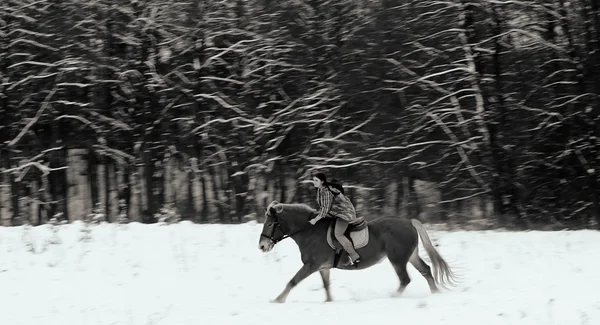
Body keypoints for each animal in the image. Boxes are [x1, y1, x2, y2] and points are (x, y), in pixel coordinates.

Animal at [255, 199, 458, 302]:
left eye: (271, 224)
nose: (262, 246)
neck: (310, 231)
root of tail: (409, 222)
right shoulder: (323, 268)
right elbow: (326, 286)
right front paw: (329, 302)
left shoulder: (311, 265)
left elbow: (293, 281)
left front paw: (278, 300)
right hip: (410, 256)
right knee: (426, 271)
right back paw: (436, 294)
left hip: (397, 259)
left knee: (405, 279)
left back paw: (393, 297)